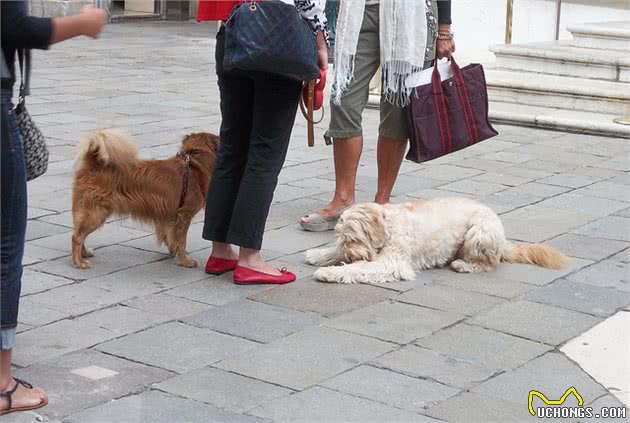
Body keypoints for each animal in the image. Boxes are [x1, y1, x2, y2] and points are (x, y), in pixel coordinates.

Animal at [70, 128, 220, 268]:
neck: (194, 165)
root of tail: (92, 164)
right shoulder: (184, 215)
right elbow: (181, 241)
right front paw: (185, 261)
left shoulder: (168, 217)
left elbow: (171, 237)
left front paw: (174, 252)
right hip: (96, 213)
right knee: (76, 237)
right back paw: (79, 262)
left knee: (78, 232)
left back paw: (84, 253)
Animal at [306, 198, 568, 284]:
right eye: (341, 240)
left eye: (354, 238)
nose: (350, 255)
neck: (388, 225)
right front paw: (319, 255)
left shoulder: (392, 263)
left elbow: (358, 268)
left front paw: (329, 272)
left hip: (479, 232)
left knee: (489, 263)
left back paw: (464, 264)